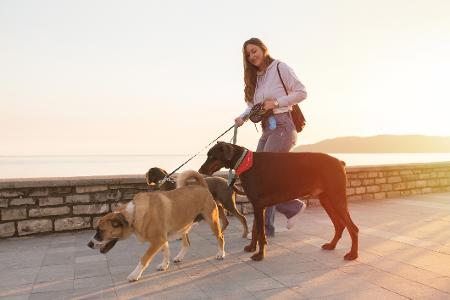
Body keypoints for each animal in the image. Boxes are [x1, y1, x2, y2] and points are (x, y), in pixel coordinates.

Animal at [87, 170, 224, 282]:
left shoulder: (157, 241)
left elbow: (144, 258)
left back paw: (221, 254)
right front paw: (164, 265)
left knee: (220, 237)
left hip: (212, 221)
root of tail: (202, 186)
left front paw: (135, 275)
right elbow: (166, 251)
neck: (134, 214)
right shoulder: (162, 239)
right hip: (183, 225)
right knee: (186, 243)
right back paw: (179, 257)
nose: (89, 245)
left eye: (100, 231)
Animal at [200, 142, 358, 262]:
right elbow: (256, 229)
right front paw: (251, 248)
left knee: (353, 228)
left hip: (336, 198)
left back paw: (353, 254)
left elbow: (261, 233)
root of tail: (340, 162)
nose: (200, 170)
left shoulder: (258, 205)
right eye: (208, 155)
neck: (247, 163)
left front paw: (259, 255)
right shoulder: (258, 205)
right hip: (326, 199)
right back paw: (331, 245)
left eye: (212, 156)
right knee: (339, 225)